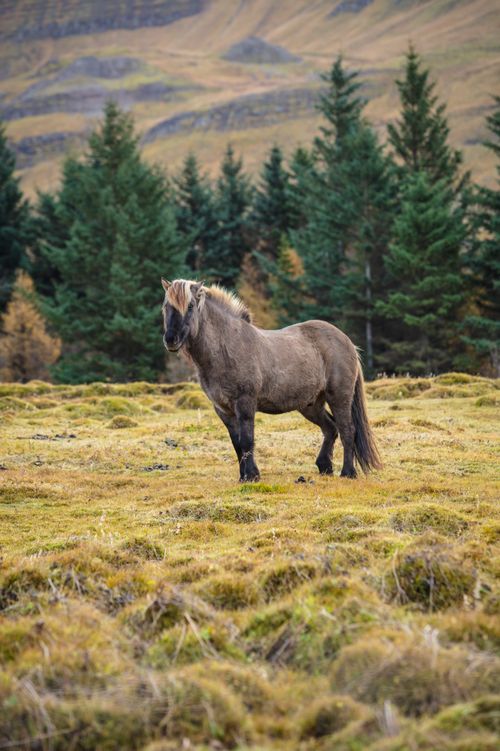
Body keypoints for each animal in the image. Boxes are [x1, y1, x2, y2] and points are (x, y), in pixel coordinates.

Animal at [161, 278, 381, 482]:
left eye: (190, 306)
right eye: (165, 306)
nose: (171, 339)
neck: (227, 348)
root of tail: (347, 341)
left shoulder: (245, 404)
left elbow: (247, 440)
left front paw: (252, 476)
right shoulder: (223, 410)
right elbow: (237, 444)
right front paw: (243, 477)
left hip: (339, 398)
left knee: (347, 430)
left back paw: (348, 472)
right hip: (310, 405)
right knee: (331, 429)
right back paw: (324, 467)